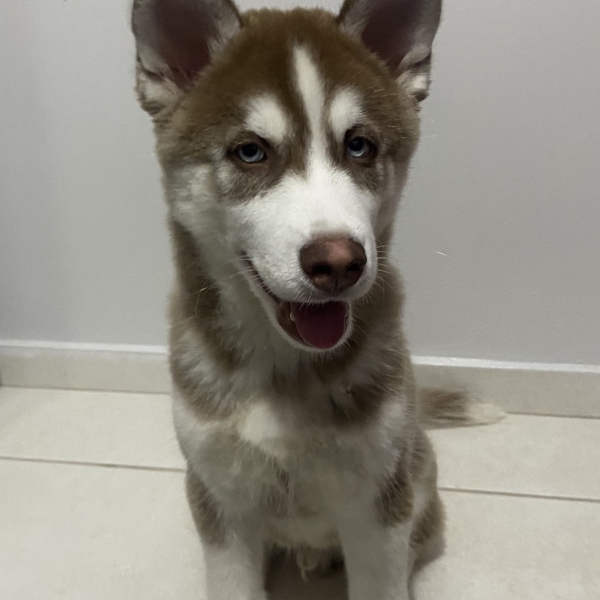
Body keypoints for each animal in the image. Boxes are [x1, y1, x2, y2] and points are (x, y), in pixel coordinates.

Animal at [131, 1, 500, 598]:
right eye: (250, 152)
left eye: (359, 145)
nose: (339, 263)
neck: (285, 373)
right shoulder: (220, 500)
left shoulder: (377, 509)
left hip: (415, 486)